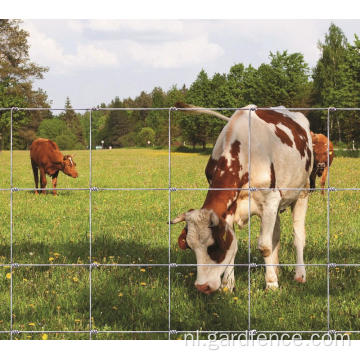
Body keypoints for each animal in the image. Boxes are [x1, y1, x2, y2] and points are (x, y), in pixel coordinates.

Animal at [170, 102, 314, 294]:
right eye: (190, 247)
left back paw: (299, 274)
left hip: (302, 192)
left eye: (214, 247)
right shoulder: (230, 209)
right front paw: (227, 285)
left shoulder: (270, 200)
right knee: (276, 234)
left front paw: (271, 284)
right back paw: (276, 269)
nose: (202, 287)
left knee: (298, 235)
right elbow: (236, 245)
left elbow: (265, 246)